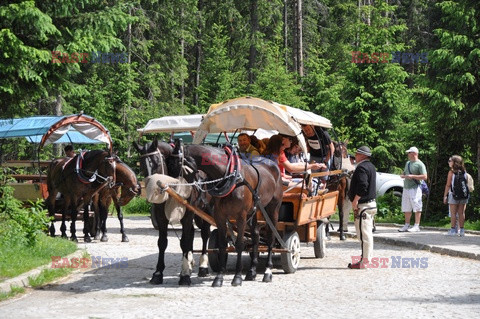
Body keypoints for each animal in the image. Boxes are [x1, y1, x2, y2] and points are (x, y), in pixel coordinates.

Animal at [133, 139, 212, 286]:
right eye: (142, 165)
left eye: (157, 162)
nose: (151, 190)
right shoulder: (161, 217)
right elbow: (163, 242)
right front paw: (158, 273)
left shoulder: (187, 215)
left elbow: (185, 242)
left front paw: (185, 275)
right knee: (192, 233)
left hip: (206, 210)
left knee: (205, 234)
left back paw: (203, 266)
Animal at [168, 141, 284, 288]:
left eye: (174, 165)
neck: (230, 177)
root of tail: (274, 166)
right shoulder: (220, 216)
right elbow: (222, 244)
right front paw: (219, 277)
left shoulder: (241, 216)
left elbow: (239, 244)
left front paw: (237, 277)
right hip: (255, 210)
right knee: (256, 236)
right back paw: (251, 271)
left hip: (272, 209)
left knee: (271, 238)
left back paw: (268, 272)